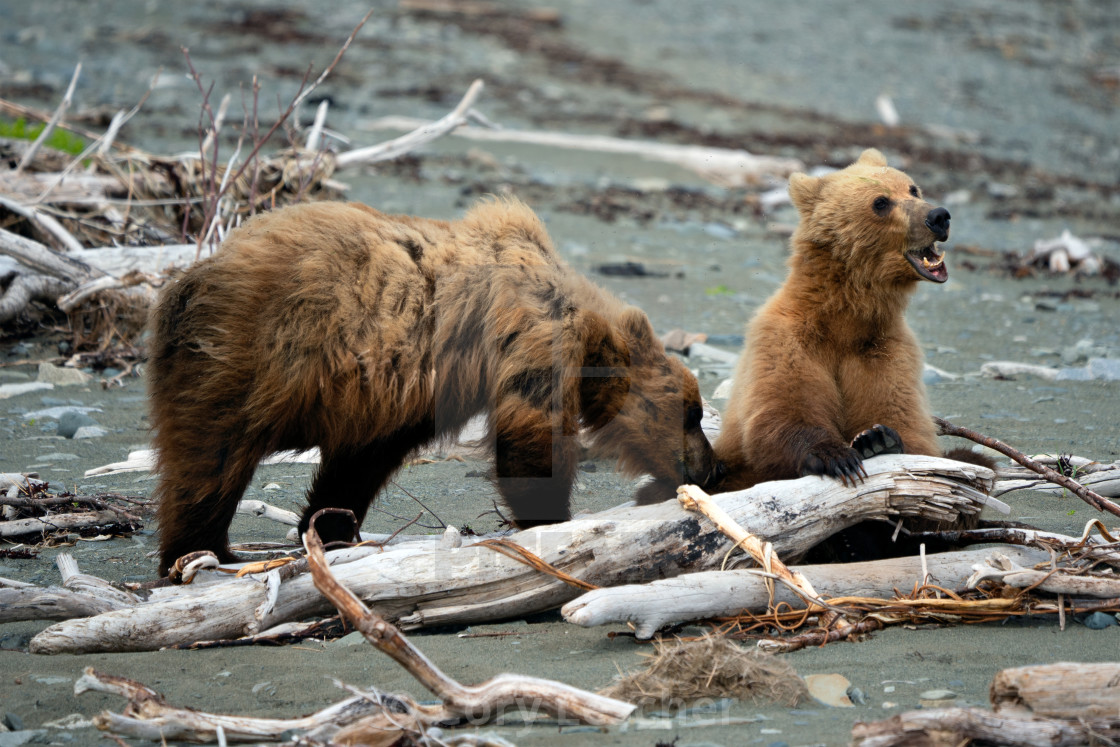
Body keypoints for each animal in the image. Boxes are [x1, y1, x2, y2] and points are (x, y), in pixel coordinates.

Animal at [148, 195, 721, 577]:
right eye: (693, 412)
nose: (712, 467)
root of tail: (188, 279)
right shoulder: (532, 335)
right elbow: (529, 439)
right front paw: (553, 520)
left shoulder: (398, 397)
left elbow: (359, 463)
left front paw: (329, 528)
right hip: (248, 355)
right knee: (210, 460)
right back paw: (203, 551)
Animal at [716, 147, 990, 497]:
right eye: (881, 202)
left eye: (913, 189)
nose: (939, 216)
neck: (844, 318)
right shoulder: (786, 338)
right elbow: (781, 411)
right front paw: (835, 455)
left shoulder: (885, 348)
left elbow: (908, 425)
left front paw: (879, 439)